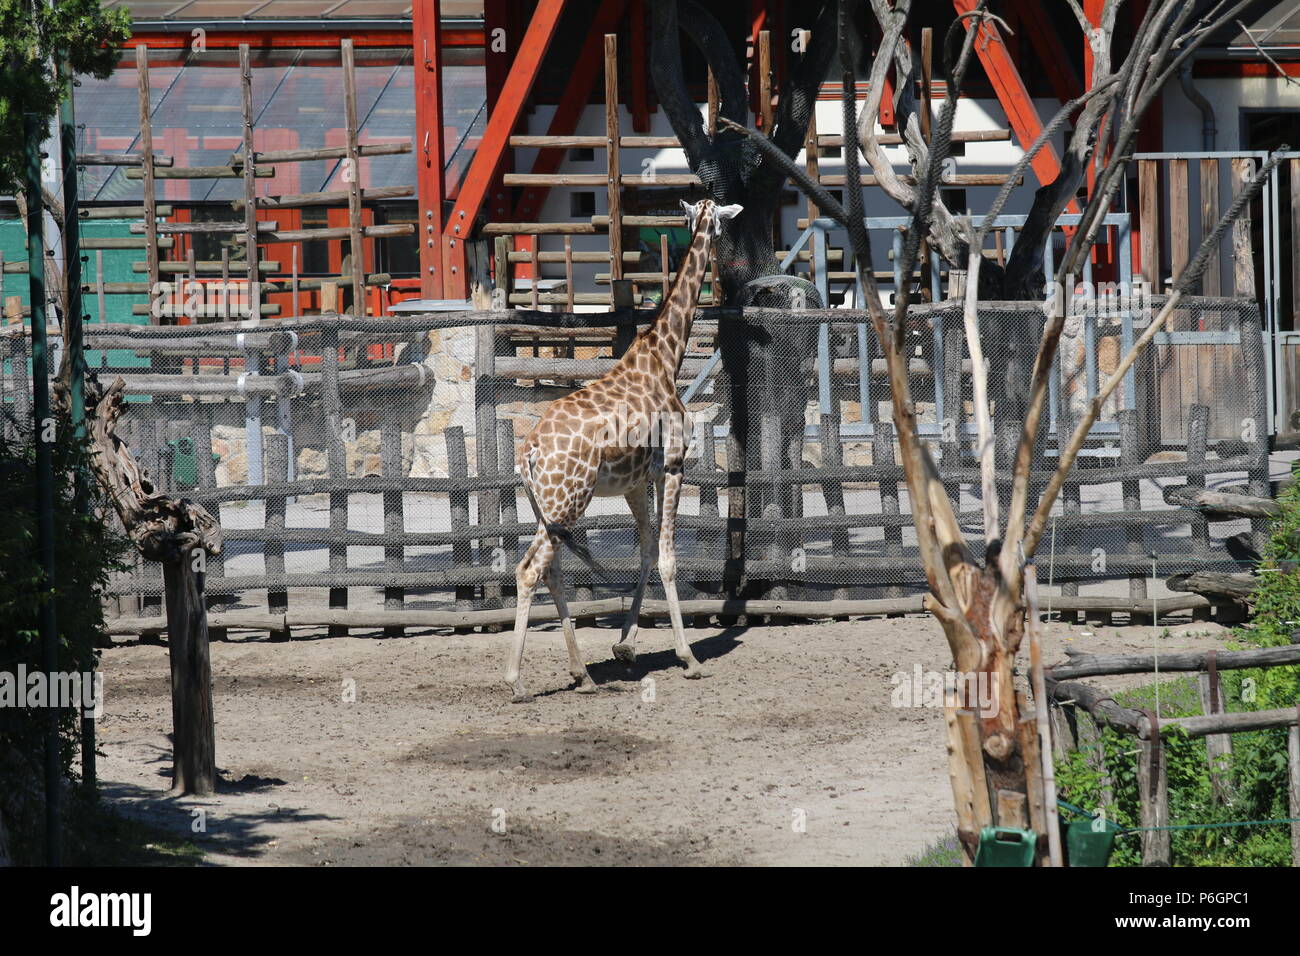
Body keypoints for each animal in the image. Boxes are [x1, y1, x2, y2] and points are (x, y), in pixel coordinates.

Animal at [501, 196, 743, 702]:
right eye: (719, 223)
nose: (724, 243)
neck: (666, 356)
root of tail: (528, 454)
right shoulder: (673, 467)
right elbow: (668, 559)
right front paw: (688, 658)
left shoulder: (636, 482)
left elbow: (647, 551)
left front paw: (625, 646)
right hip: (568, 501)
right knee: (530, 570)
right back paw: (516, 681)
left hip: (547, 507)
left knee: (551, 571)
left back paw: (583, 674)